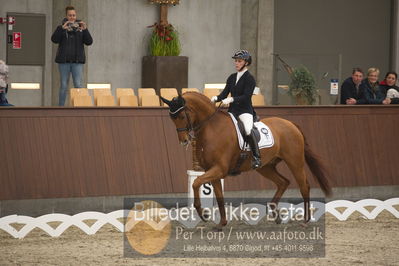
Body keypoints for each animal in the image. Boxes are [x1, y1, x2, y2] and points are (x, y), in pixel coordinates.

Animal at [159, 92, 332, 229]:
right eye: (171, 118)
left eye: (182, 116)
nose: (184, 141)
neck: (212, 127)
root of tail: (291, 124)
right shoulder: (213, 171)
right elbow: (219, 196)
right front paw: (221, 223)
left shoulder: (219, 169)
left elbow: (196, 183)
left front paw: (204, 215)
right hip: (265, 167)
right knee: (283, 182)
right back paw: (275, 214)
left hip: (294, 162)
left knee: (304, 186)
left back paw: (305, 220)